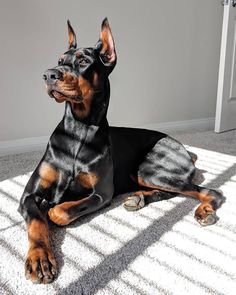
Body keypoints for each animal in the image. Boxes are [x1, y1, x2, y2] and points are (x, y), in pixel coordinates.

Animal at [18, 17, 225, 284]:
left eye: (83, 61)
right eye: (60, 59)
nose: (48, 75)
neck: (79, 129)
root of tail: (184, 148)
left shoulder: (102, 194)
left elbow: (61, 212)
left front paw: (53, 210)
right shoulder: (28, 195)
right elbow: (36, 223)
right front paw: (40, 259)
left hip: (147, 169)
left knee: (208, 191)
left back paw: (203, 210)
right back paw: (138, 198)